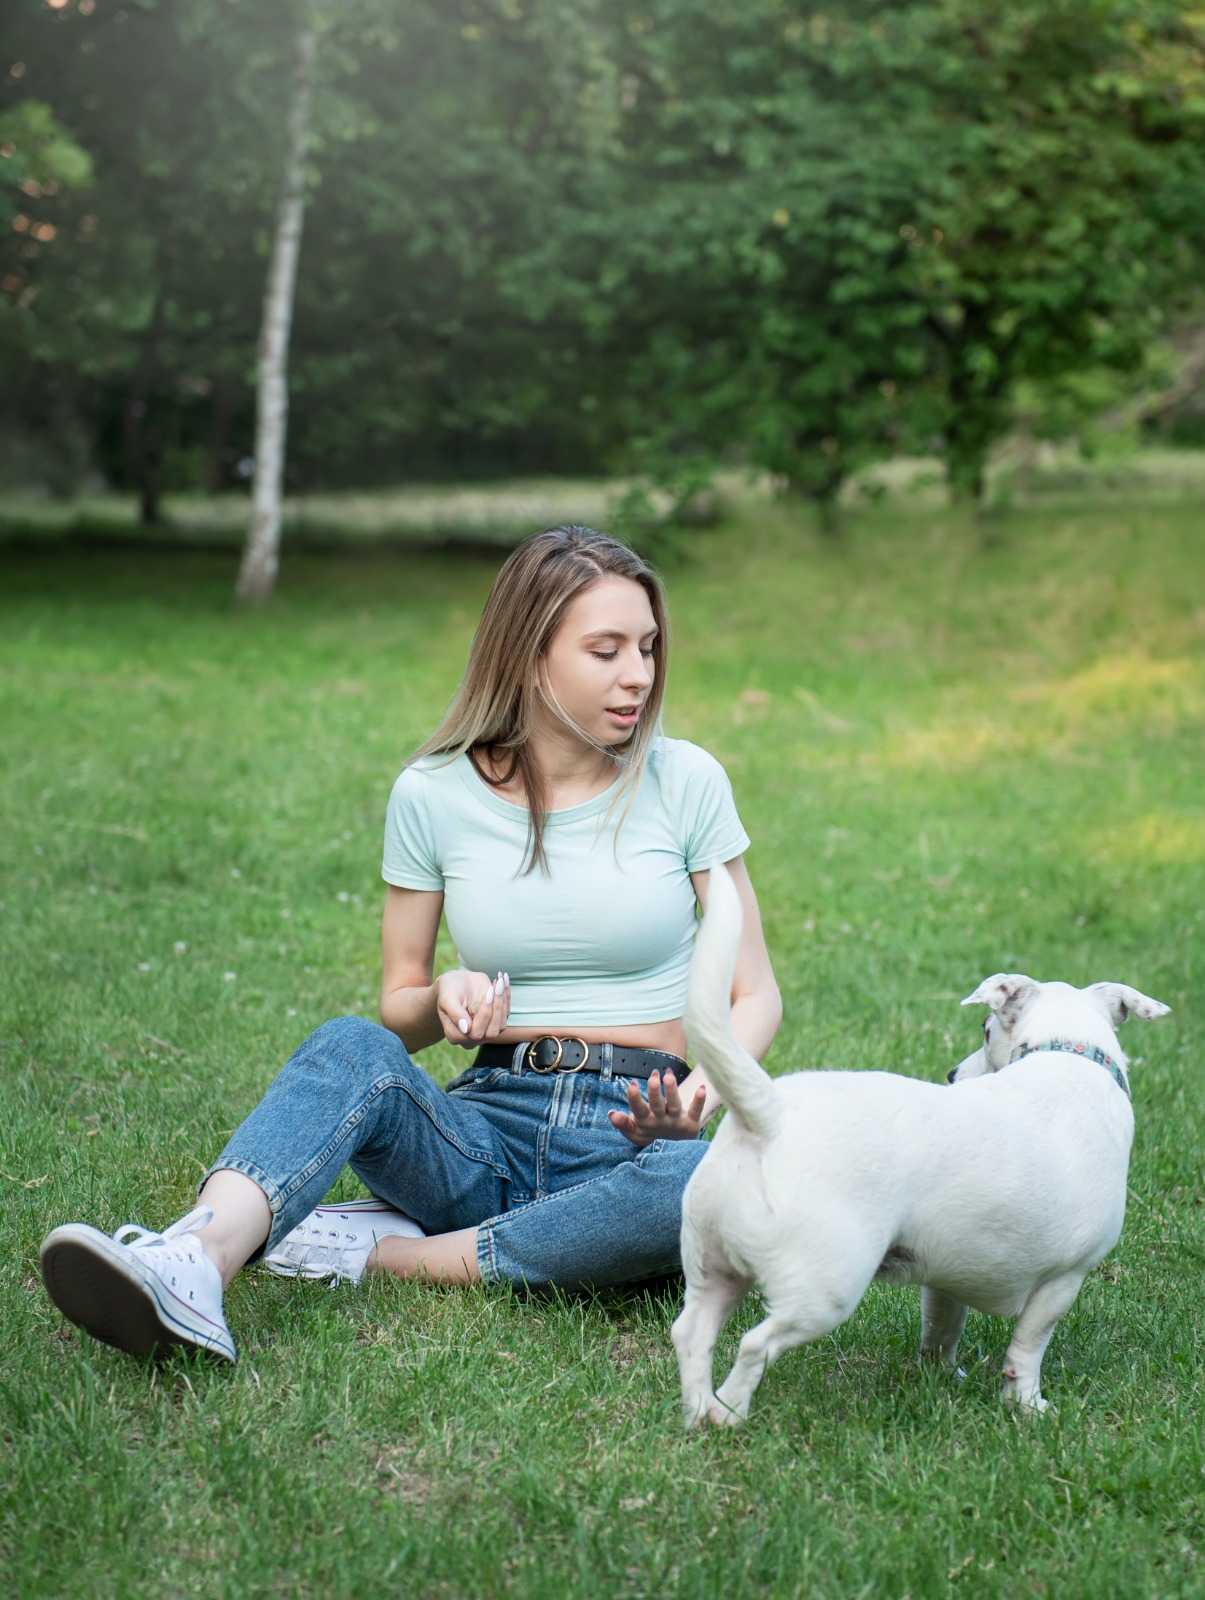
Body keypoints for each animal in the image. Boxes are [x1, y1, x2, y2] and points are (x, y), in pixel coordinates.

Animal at [672, 863, 1169, 1427]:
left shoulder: (945, 1278)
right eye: (987, 1026)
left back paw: (698, 1414)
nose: (952, 1074)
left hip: (714, 1268)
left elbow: (940, 1330)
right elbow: (1027, 1349)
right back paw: (728, 1414)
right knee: (755, 1346)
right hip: (824, 1290)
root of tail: (770, 1113)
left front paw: (941, 1377)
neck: (1066, 1052)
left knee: (691, 1334)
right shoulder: (1062, 1282)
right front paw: (1028, 1406)